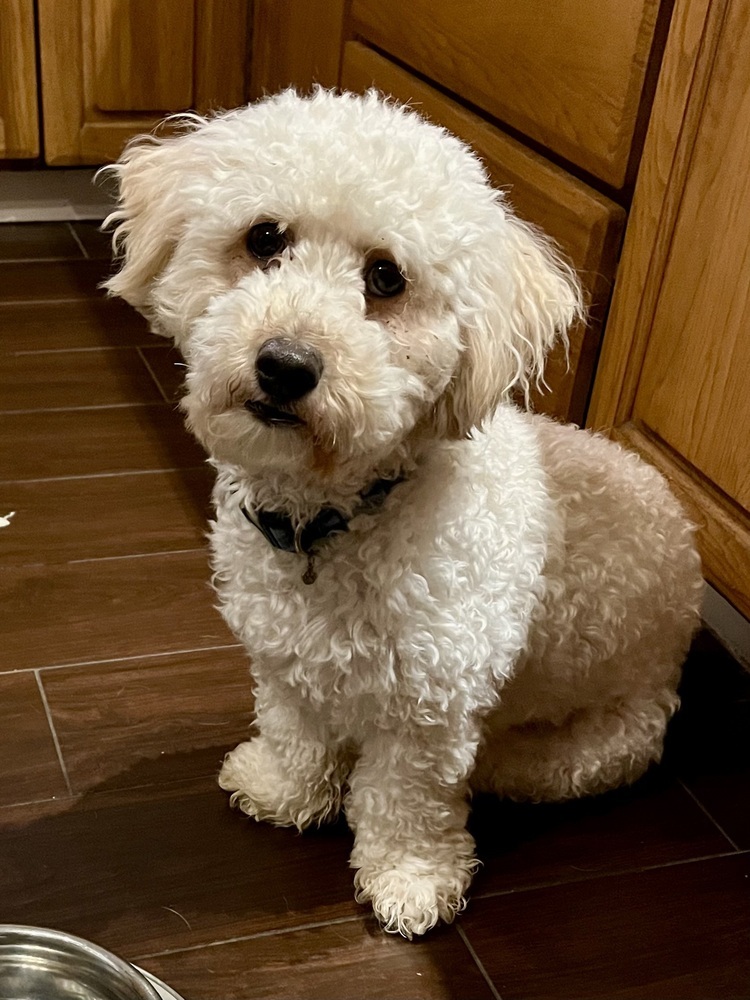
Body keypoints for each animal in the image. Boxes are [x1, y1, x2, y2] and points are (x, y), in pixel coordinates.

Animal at [104, 86, 704, 936]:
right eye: (265, 238)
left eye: (386, 278)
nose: (286, 364)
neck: (338, 516)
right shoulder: (284, 660)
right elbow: (293, 731)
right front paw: (285, 790)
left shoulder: (431, 709)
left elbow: (406, 802)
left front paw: (410, 881)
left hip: (586, 746)